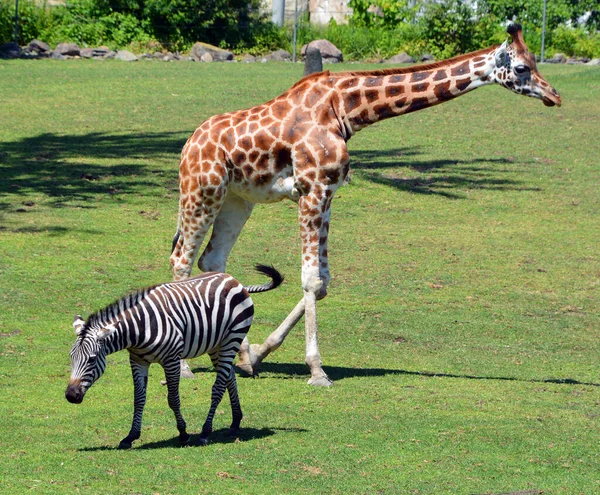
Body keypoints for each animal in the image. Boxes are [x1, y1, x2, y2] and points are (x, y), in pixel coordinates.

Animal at [64, 266, 284, 452]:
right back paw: (236, 421)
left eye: (92, 360)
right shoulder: (138, 360)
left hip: (233, 338)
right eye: (71, 358)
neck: (139, 329)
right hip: (216, 345)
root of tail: (236, 281)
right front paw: (130, 437)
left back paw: (205, 432)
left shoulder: (171, 359)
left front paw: (184, 434)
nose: (70, 396)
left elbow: (173, 399)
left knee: (219, 386)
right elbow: (139, 398)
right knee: (229, 377)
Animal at [170, 24, 564, 388]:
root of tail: (189, 144)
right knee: (181, 259)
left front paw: (256, 356)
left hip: (238, 199)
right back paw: (186, 366)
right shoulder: (312, 189)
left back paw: (237, 354)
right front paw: (317, 371)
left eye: (534, 62)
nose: (554, 96)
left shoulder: (328, 193)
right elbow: (311, 279)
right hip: (201, 191)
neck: (346, 110)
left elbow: (323, 282)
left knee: (212, 261)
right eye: (522, 68)